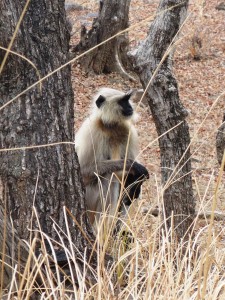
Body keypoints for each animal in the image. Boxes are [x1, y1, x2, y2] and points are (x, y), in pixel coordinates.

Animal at [75, 88, 149, 226]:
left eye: (127, 100)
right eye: (123, 101)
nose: (130, 107)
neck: (111, 126)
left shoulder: (128, 130)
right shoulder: (91, 130)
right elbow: (83, 170)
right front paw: (132, 165)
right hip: (88, 200)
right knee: (108, 177)